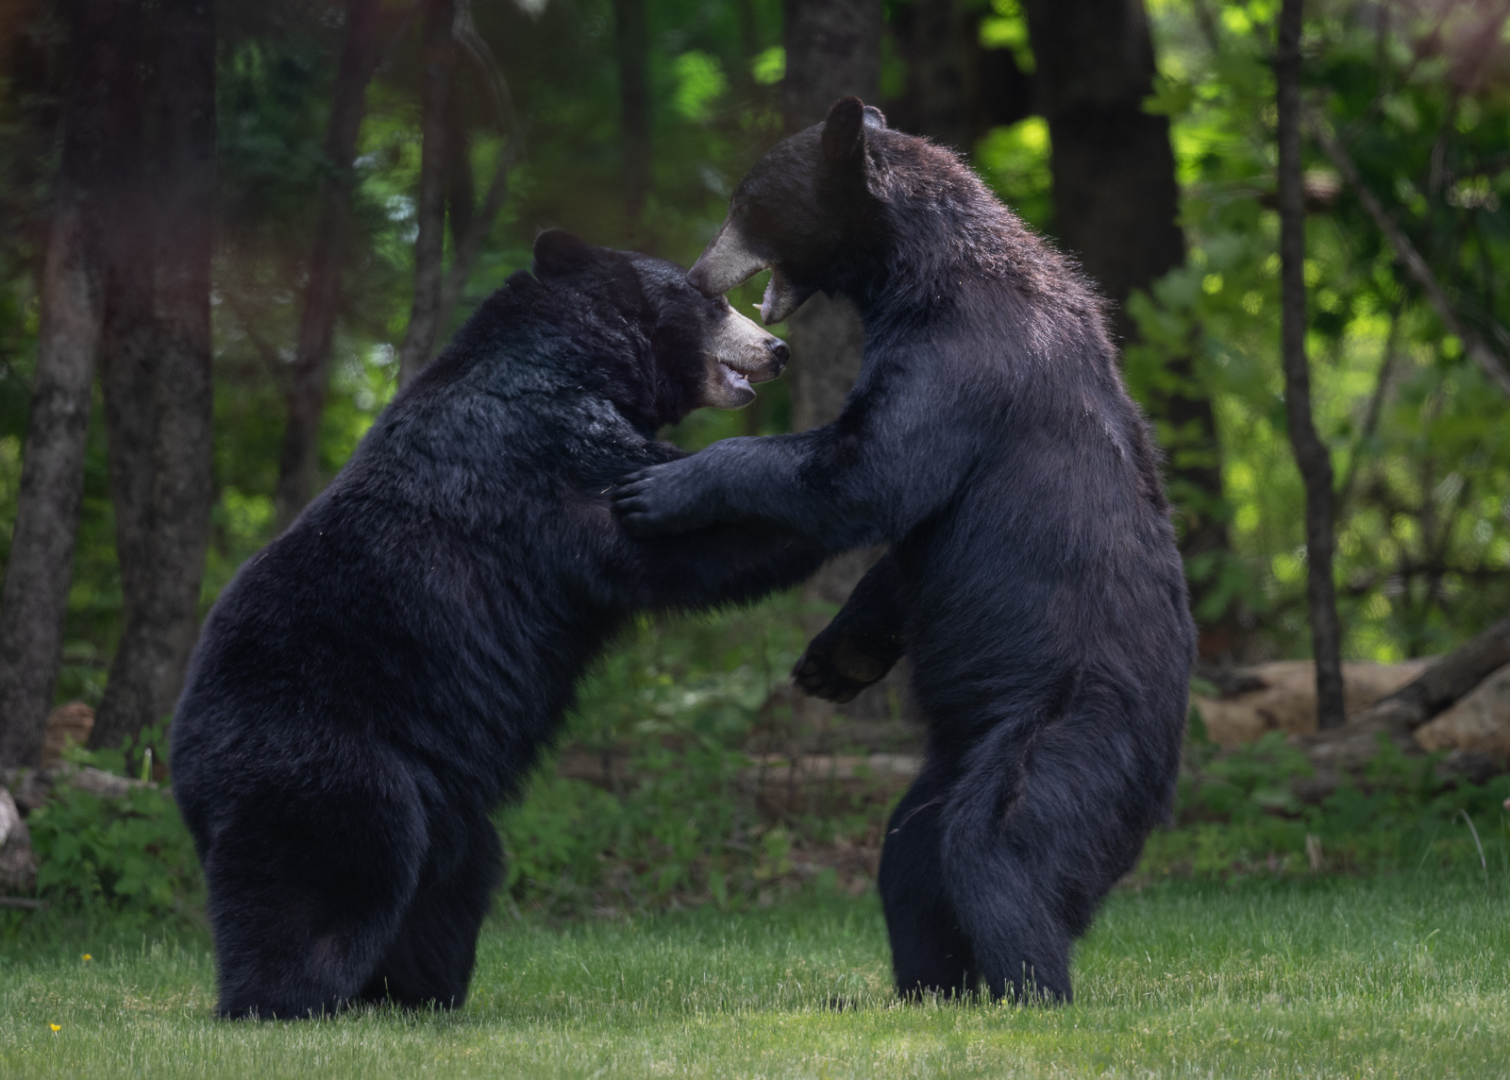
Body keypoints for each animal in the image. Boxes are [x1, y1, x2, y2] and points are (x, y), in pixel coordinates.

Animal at [170, 230, 825, 1019]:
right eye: (712, 300)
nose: (777, 348)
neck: (578, 356)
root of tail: (180, 762)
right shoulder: (546, 450)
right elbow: (662, 521)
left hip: (445, 799)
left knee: (448, 886)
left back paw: (414, 991)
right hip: (319, 749)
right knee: (331, 868)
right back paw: (285, 997)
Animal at [613, 98, 1196, 1002]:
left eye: (747, 201)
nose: (703, 274)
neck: (916, 274)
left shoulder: (960, 356)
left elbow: (869, 469)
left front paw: (665, 486)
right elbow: (901, 551)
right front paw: (831, 660)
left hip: (1072, 725)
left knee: (1000, 849)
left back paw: (1028, 988)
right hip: (958, 750)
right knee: (910, 856)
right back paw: (929, 986)